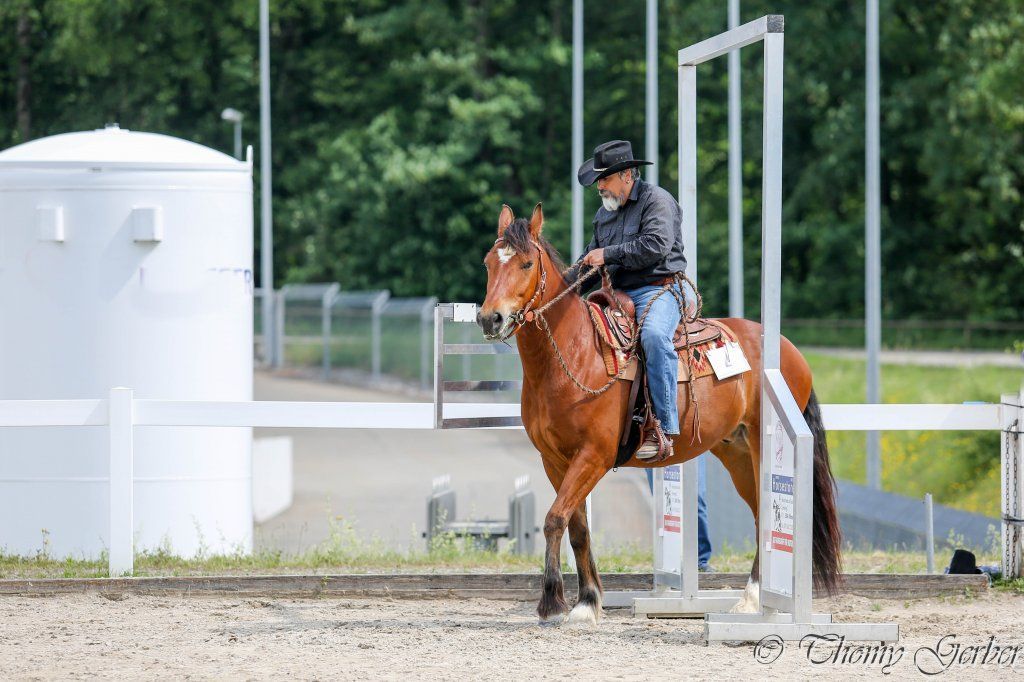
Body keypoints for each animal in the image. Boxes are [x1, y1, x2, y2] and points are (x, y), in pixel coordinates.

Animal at [476, 202, 841, 625]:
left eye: (526, 263)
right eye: (489, 263)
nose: (490, 318)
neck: (576, 354)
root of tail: (787, 348)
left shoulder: (593, 456)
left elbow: (554, 519)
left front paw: (554, 603)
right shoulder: (555, 460)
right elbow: (576, 527)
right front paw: (587, 600)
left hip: (761, 450)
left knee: (767, 516)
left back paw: (754, 601)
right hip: (735, 452)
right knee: (758, 515)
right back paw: (750, 599)